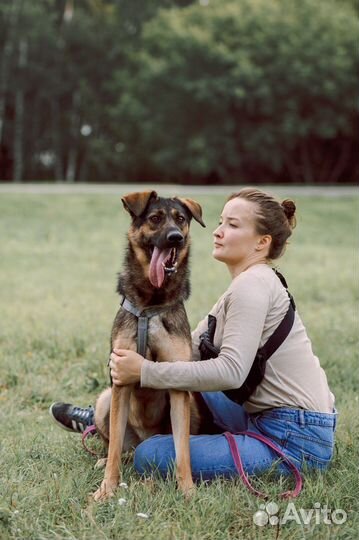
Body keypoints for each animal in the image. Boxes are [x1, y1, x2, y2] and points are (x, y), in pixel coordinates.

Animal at [91, 191, 214, 502]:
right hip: (105, 400)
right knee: (119, 449)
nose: (175, 238)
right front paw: (107, 489)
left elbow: (183, 452)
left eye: (180, 219)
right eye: (155, 218)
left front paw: (188, 491)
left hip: (191, 405)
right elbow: (113, 450)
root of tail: (143, 440)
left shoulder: (180, 387)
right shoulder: (120, 382)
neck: (151, 304)